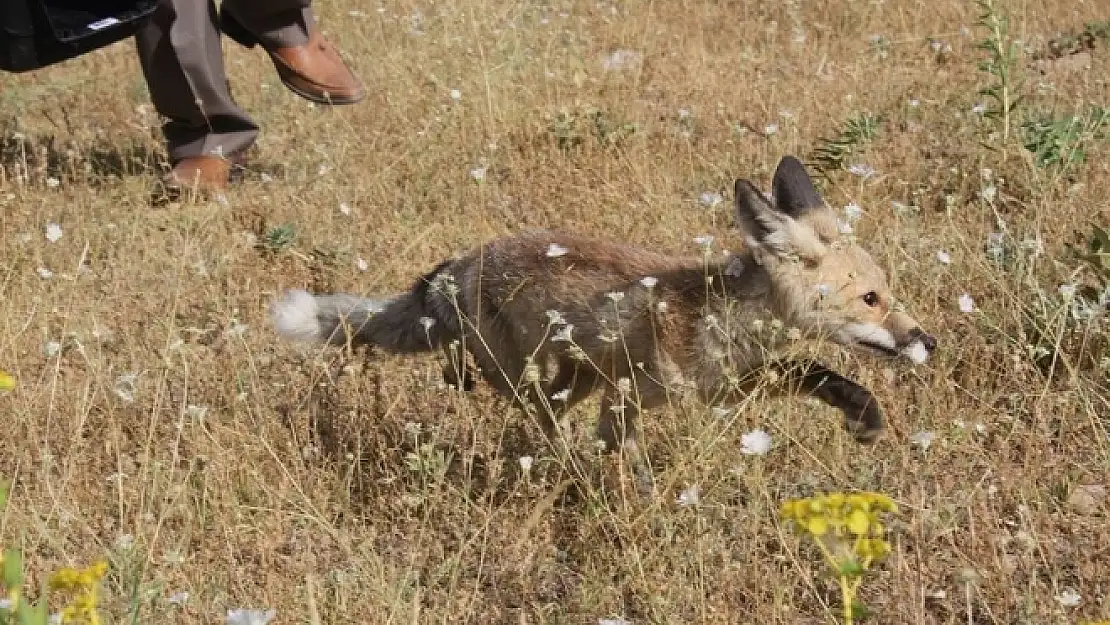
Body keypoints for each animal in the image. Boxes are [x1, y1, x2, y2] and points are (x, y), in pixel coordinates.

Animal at [268, 154, 936, 461]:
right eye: (871, 299)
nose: (927, 340)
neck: (718, 316)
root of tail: (454, 266)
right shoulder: (631, 395)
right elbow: (623, 458)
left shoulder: (728, 387)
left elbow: (815, 372)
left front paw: (864, 414)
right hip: (525, 375)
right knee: (528, 409)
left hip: (576, 375)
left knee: (544, 408)